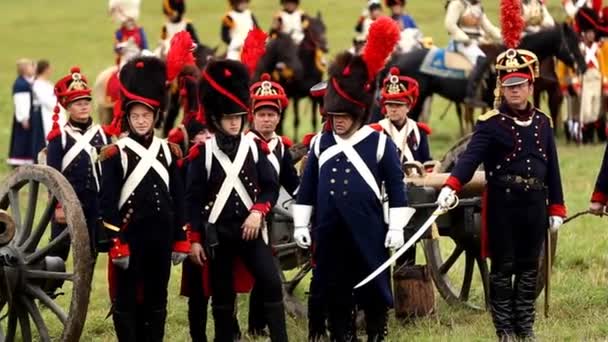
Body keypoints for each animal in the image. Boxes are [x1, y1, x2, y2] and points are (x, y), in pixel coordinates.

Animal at [254, 12, 328, 140]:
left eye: (324, 28)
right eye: (310, 30)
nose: (325, 47)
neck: (306, 67)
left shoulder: (313, 97)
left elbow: (314, 119)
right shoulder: (296, 96)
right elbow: (296, 120)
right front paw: (295, 139)